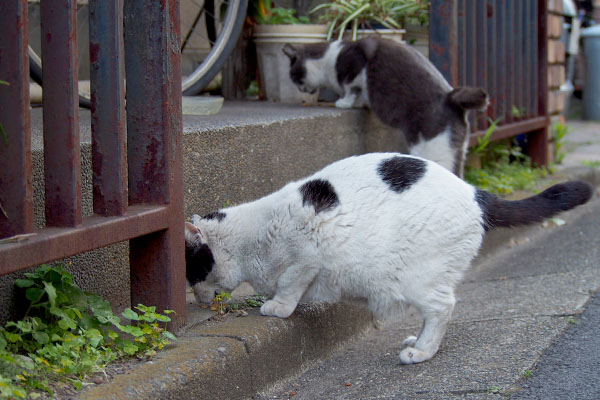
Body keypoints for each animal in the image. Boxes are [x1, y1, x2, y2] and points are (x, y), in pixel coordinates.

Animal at [184, 154, 592, 366]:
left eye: (189, 273)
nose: (193, 298)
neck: (250, 240)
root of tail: (476, 192)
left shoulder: (310, 255)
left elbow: (290, 283)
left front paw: (277, 307)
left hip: (417, 279)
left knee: (444, 307)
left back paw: (422, 351)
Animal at [282, 38, 488, 177]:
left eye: (293, 76)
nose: (300, 89)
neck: (329, 59)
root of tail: (451, 98)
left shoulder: (356, 64)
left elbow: (351, 87)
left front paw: (344, 102)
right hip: (456, 151)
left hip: (433, 150)